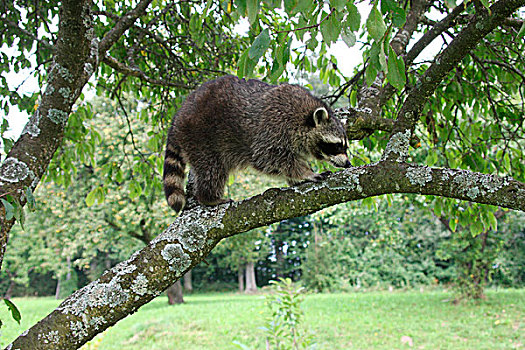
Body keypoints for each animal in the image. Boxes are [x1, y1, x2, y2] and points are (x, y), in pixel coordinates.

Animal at [162, 75, 350, 212]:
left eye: (345, 146)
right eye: (337, 145)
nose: (348, 164)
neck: (303, 116)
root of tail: (178, 117)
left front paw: (295, 178)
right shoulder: (274, 126)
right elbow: (267, 158)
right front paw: (305, 173)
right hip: (201, 135)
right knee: (212, 168)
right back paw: (209, 197)